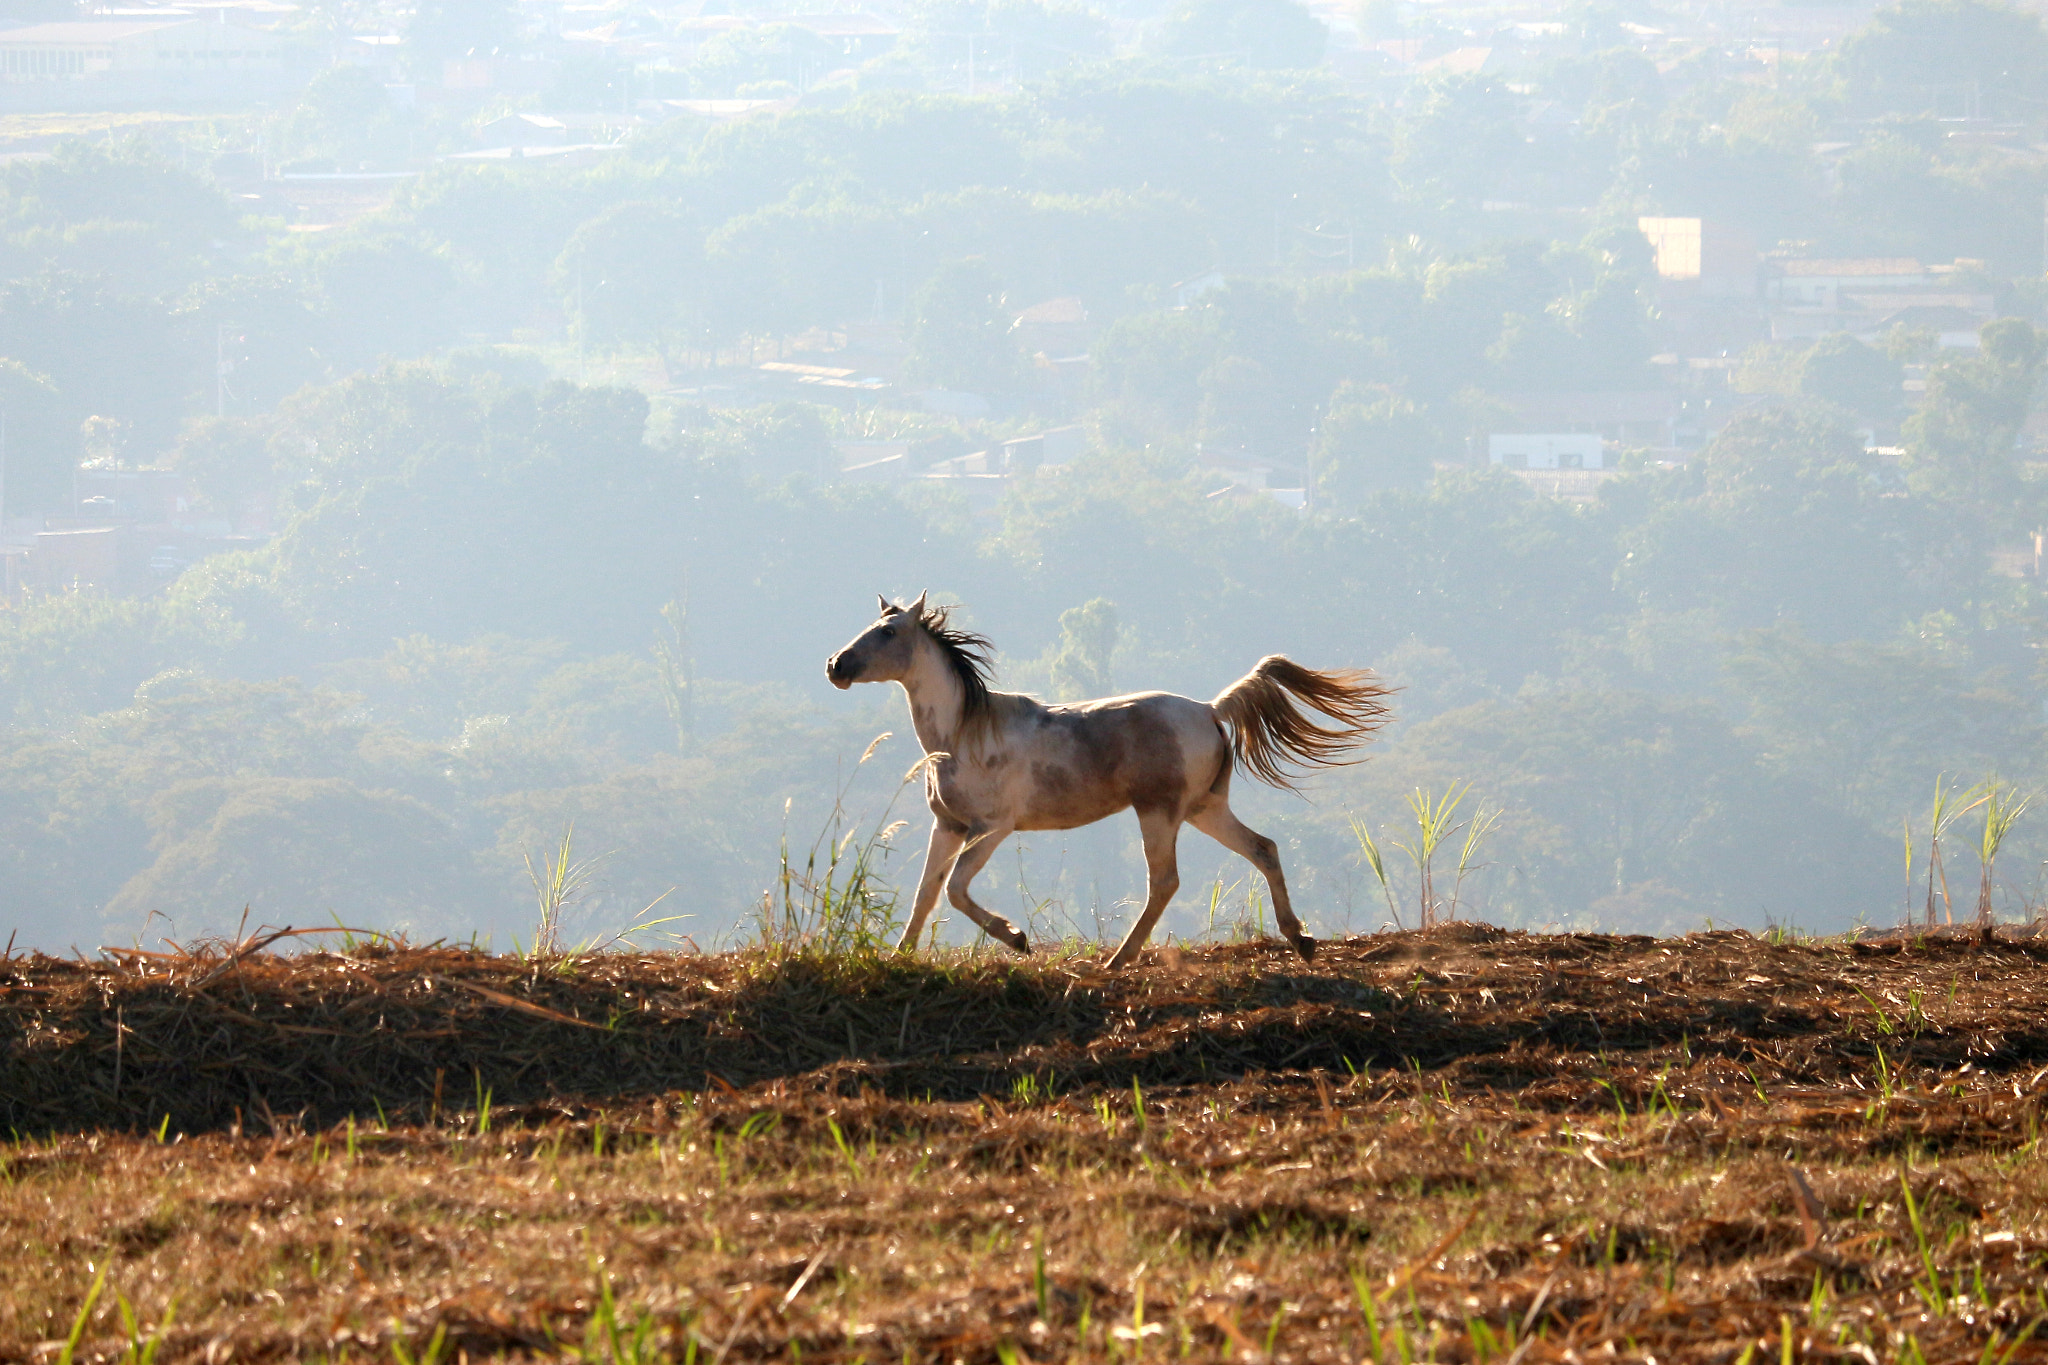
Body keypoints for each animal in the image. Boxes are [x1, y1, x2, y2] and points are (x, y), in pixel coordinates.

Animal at [827, 593, 1392, 965]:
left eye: (889, 632)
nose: (836, 664)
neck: (963, 734)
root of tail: (1210, 709)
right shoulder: (947, 825)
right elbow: (927, 893)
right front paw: (899, 956)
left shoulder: (991, 827)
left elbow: (956, 890)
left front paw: (1016, 938)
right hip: (1203, 808)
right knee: (1263, 849)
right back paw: (1300, 940)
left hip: (1159, 811)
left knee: (1165, 881)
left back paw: (1118, 959)